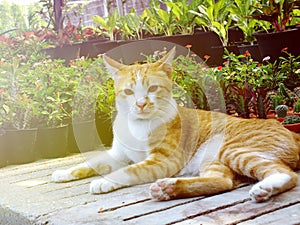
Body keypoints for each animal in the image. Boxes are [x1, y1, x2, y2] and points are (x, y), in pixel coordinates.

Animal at [52, 47, 300, 202]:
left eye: (152, 89)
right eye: (129, 92)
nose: (141, 104)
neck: (137, 125)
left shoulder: (163, 160)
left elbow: (129, 170)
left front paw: (104, 181)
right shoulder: (117, 155)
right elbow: (91, 162)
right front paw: (64, 172)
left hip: (231, 148)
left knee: (286, 174)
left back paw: (265, 187)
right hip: (213, 158)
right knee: (222, 181)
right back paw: (169, 189)